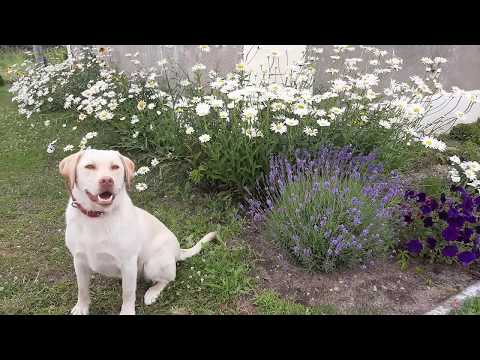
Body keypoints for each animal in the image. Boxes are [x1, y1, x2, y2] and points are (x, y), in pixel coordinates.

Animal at [59, 149, 217, 316]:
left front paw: (127, 311)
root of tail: (178, 251)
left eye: (115, 167)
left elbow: (128, 293)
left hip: (152, 264)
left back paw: (152, 292)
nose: (107, 180)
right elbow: (82, 289)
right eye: (89, 166)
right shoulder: (79, 260)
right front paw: (81, 307)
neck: (97, 216)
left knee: (167, 279)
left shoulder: (128, 263)